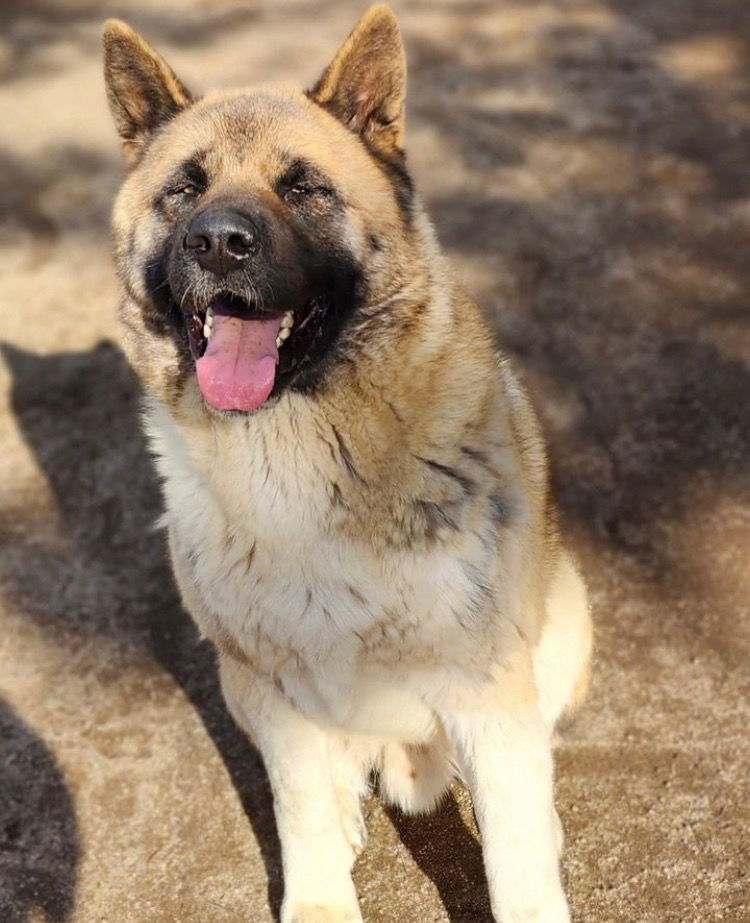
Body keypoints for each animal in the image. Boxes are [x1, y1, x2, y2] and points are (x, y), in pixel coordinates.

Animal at [103, 9, 592, 923]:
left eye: (304, 188)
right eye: (184, 189)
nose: (217, 243)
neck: (303, 452)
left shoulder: (485, 685)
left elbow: (513, 849)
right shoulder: (275, 689)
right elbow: (301, 809)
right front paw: (321, 894)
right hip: (238, 682)